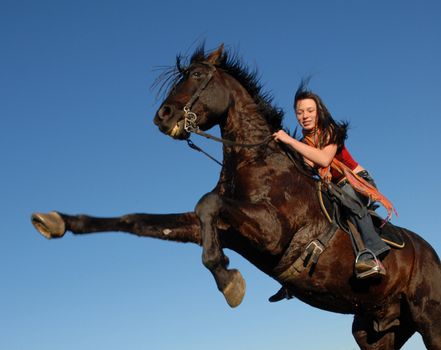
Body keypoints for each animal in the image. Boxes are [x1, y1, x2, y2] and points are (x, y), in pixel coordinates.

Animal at [31, 45, 440, 348]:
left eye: (196, 76)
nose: (162, 116)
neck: (256, 160)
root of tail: (431, 255)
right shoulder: (228, 229)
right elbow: (141, 220)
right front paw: (58, 221)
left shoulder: (271, 232)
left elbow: (207, 204)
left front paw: (227, 279)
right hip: (375, 332)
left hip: (430, 321)